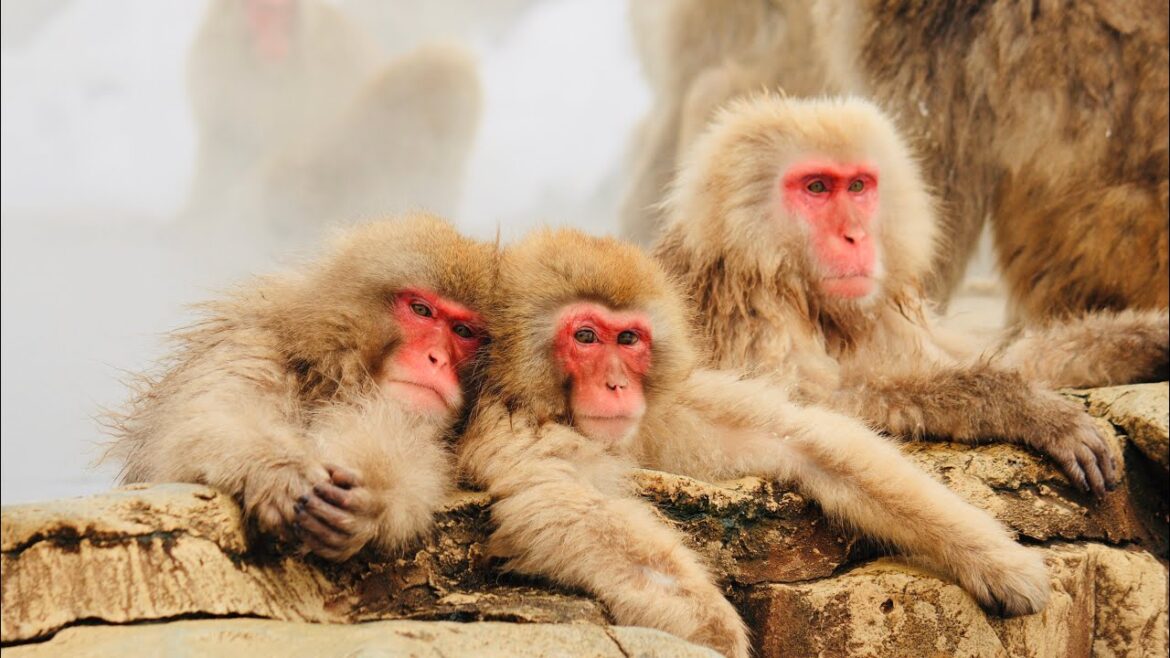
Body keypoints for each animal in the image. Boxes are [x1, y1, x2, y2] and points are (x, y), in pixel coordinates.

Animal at [106, 213, 494, 561]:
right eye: (421, 310)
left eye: (463, 331)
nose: (435, 359)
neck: (335, 373)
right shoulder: (253, 345)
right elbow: (213, 415)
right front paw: (279, 471)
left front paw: (371, 502)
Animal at [460, 227, 1052, 658]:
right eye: (585, 337)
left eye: (627, 339)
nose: (615, 385)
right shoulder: (515, 424)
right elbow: (555, 500)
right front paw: (719, 637)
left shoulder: (668, 408)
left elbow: (803, 439)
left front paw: (996, 559)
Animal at [653, 94, 1170, 498]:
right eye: (816, 187)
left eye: (857, 186)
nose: (855, 236)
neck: (791, 284)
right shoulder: (746, 313)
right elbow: (794, 409)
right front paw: (1016, 406)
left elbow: (1014, 357)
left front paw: (1151, 340)